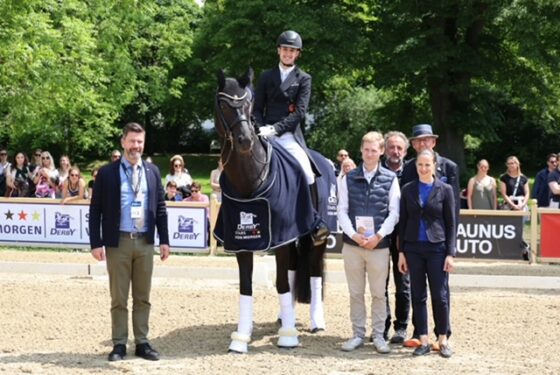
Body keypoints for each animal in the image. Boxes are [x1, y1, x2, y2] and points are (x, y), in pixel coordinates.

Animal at [213, 69, 334, 354]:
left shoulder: (280, 235)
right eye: (224, 104)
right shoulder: (242, 241)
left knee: (313, 271)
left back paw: (316, 322)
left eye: (248, 103)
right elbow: (246, 286)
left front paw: (288, 337)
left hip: (317, 237)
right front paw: (241, 338)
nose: (245, 140)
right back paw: (284, 317)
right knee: (292, 270)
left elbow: (280, 283)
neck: (250, 181)